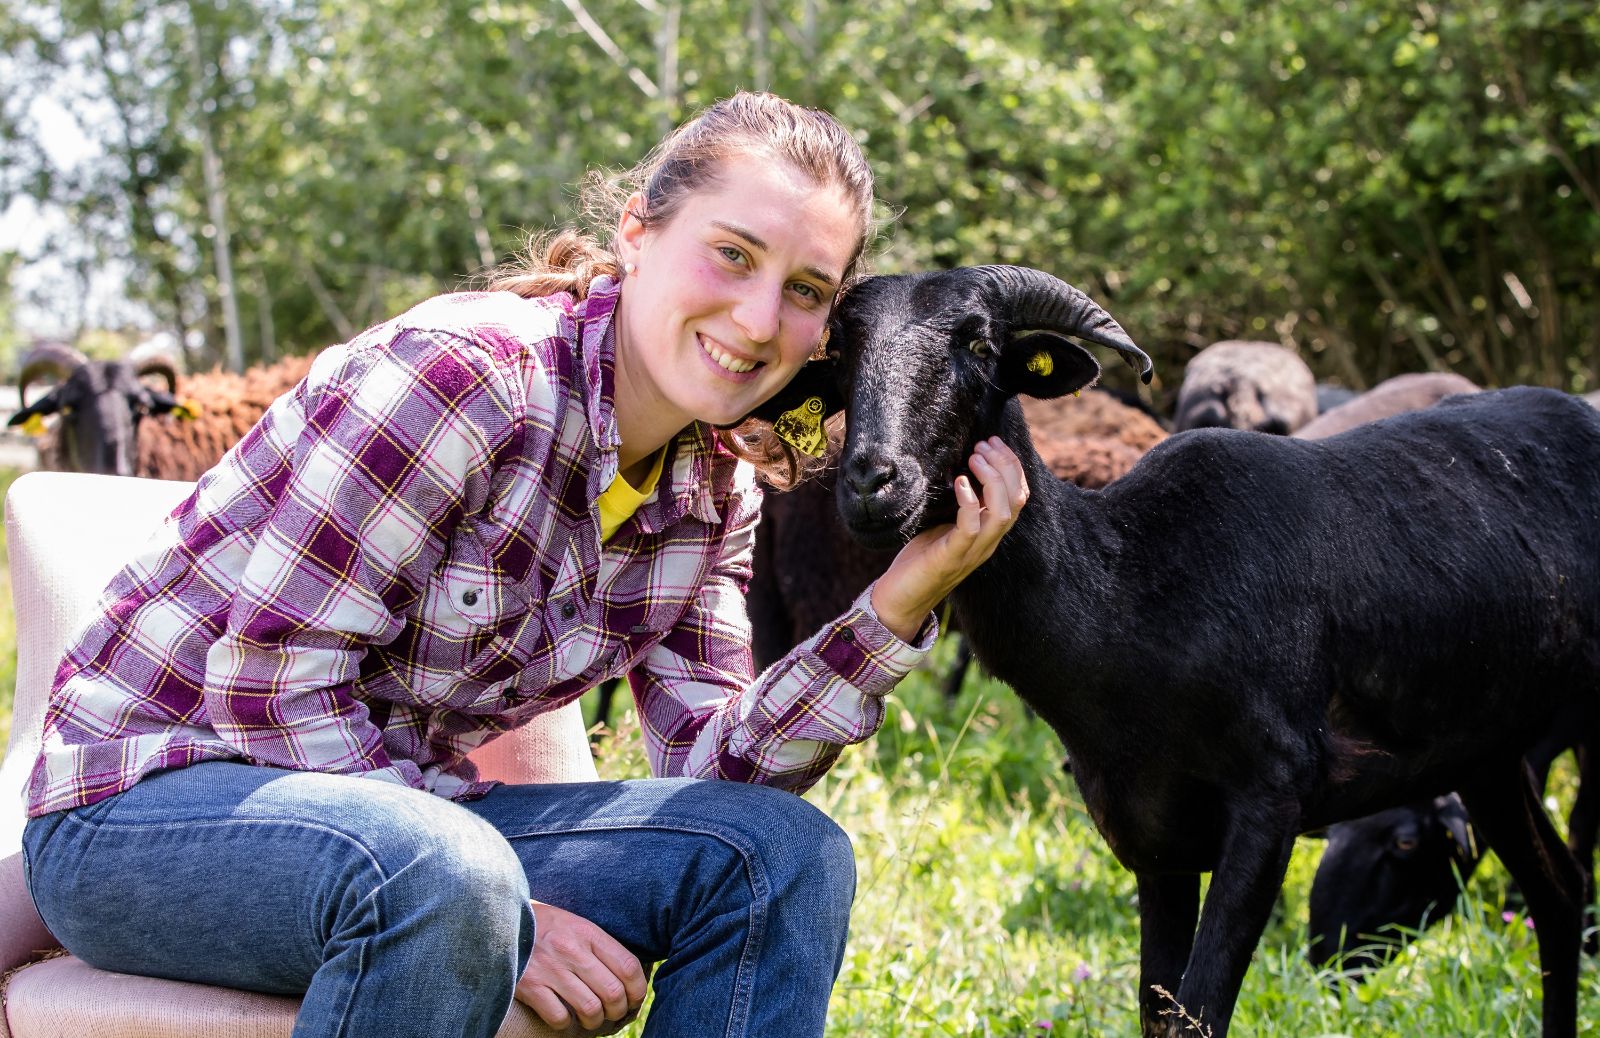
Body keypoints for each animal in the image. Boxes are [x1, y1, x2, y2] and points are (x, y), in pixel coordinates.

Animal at [819, 265, 1600, 1036]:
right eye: (842, 352)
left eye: (981, 345)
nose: (871, 482)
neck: (1130, 593)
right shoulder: (1149, 834)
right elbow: (1159, 1012)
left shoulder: (1269, 802)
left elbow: (1199, 1013)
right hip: (1487, 752)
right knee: (1558, 893)